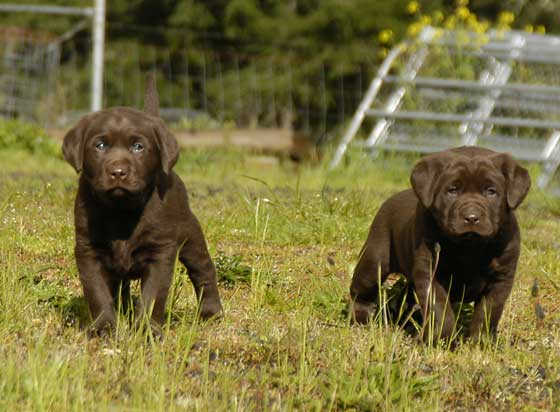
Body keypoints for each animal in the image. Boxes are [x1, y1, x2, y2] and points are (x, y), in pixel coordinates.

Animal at [350, 146, 528, 340]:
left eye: (491, 191)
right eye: (452, 190)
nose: (471, 217)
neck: (470, 248)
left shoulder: (500, 278)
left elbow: (488, 313)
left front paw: (481, 341)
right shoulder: (430, 271)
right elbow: (440, 309)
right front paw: (442, 339)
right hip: (375, 259)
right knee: (361, 289)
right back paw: (361, 318)